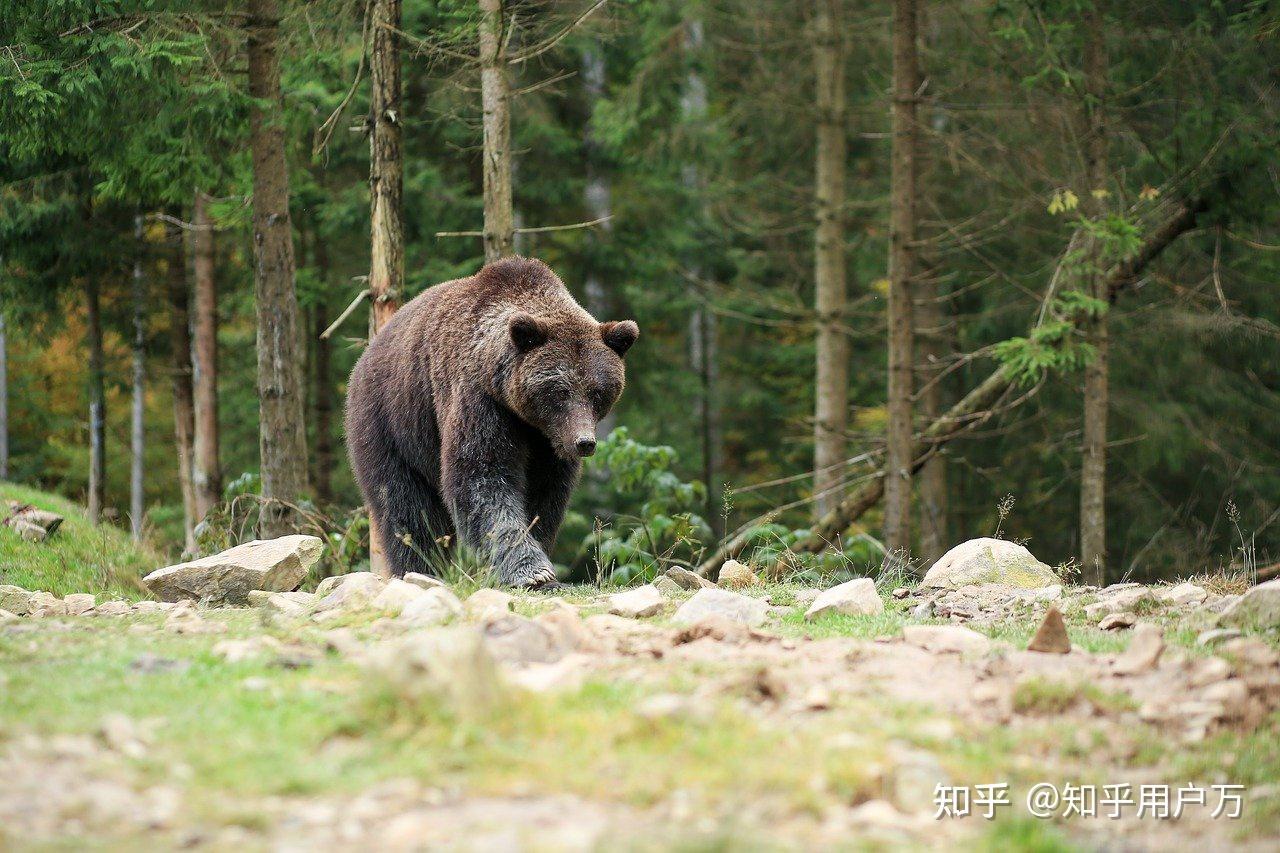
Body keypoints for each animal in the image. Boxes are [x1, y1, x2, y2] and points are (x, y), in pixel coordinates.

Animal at [343, 253, 637, 584]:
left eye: (598, 392)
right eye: (560, 391)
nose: (584, 442)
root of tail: (368, 352)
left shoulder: (547, 442)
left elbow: (544, 494)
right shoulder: (480, 400)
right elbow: (481, 475)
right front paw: (532, 571)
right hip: (391, 421)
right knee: (405, 505)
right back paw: (419, 568)